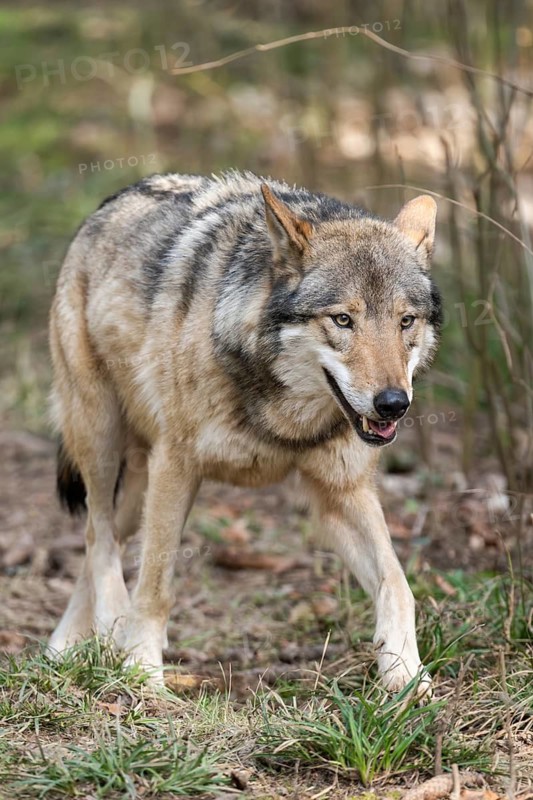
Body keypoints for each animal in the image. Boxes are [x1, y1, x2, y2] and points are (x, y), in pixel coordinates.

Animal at [48, 170, 441, 694]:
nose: (394, 404)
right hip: (101, 437)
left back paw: (67, 646)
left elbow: (398, 584)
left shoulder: (341, 492)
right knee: (98, 534)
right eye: (343, 319)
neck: (286, 418)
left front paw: (406, 675)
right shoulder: (177, 467)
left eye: (405, 321)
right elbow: (156, 584)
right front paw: (142, 671)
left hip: (137, 485)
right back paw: (109, 627)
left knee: (104, 534)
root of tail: (118, 196)